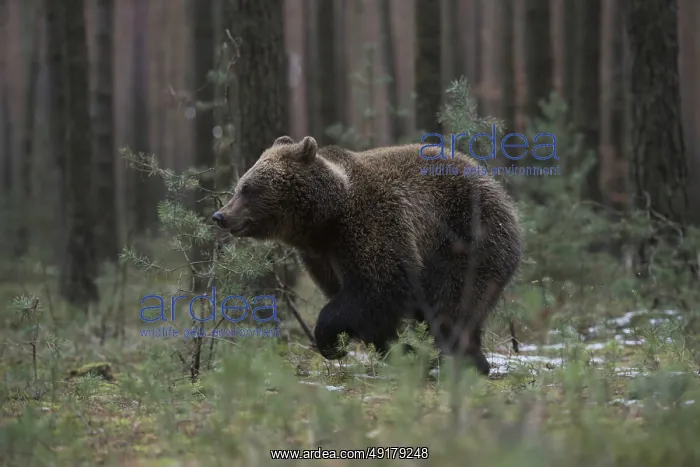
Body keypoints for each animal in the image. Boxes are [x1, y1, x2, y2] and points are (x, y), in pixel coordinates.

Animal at [212, 135, 523, 375]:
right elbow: (367, 308)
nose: (221, 216)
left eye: (248, 188)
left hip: (467, 237)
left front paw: (330, 341)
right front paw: (398, 349)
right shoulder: (321, 257)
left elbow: (378, 284)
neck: (325, 221)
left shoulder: (372, 225)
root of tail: (496, 185)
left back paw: (463, 359)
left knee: (454, 302)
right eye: (240, 186)